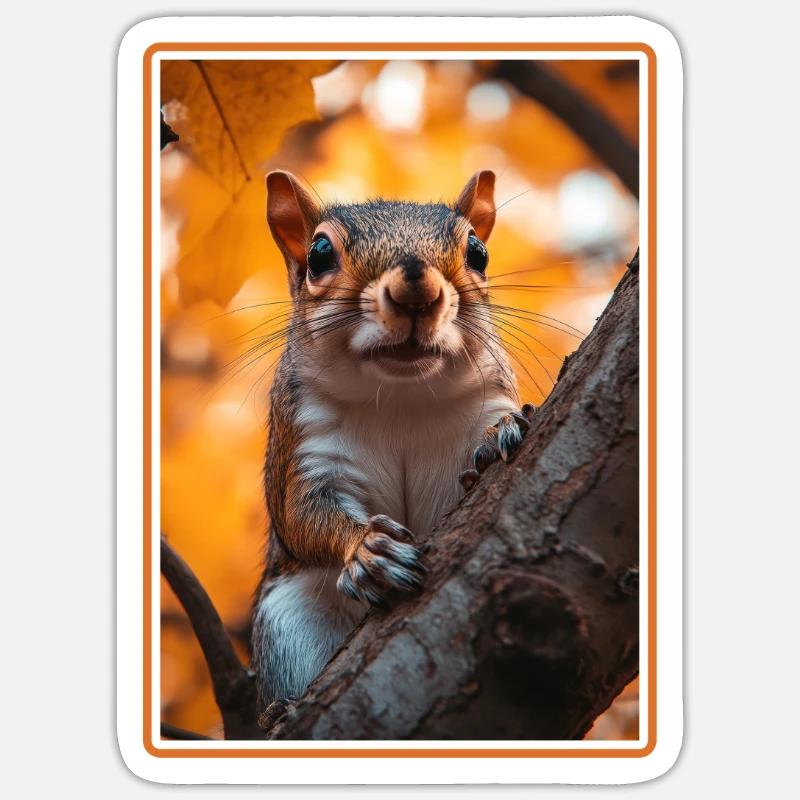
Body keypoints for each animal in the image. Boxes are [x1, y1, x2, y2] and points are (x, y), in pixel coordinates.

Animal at [250, 169, 534, 707]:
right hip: (288, 623)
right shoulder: (308, 446)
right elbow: (302, 515)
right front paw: (368, 551)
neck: (403, 395)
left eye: (478, 253)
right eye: (319, 254)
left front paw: (500, 434)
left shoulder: (487, 400)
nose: (416, 291)